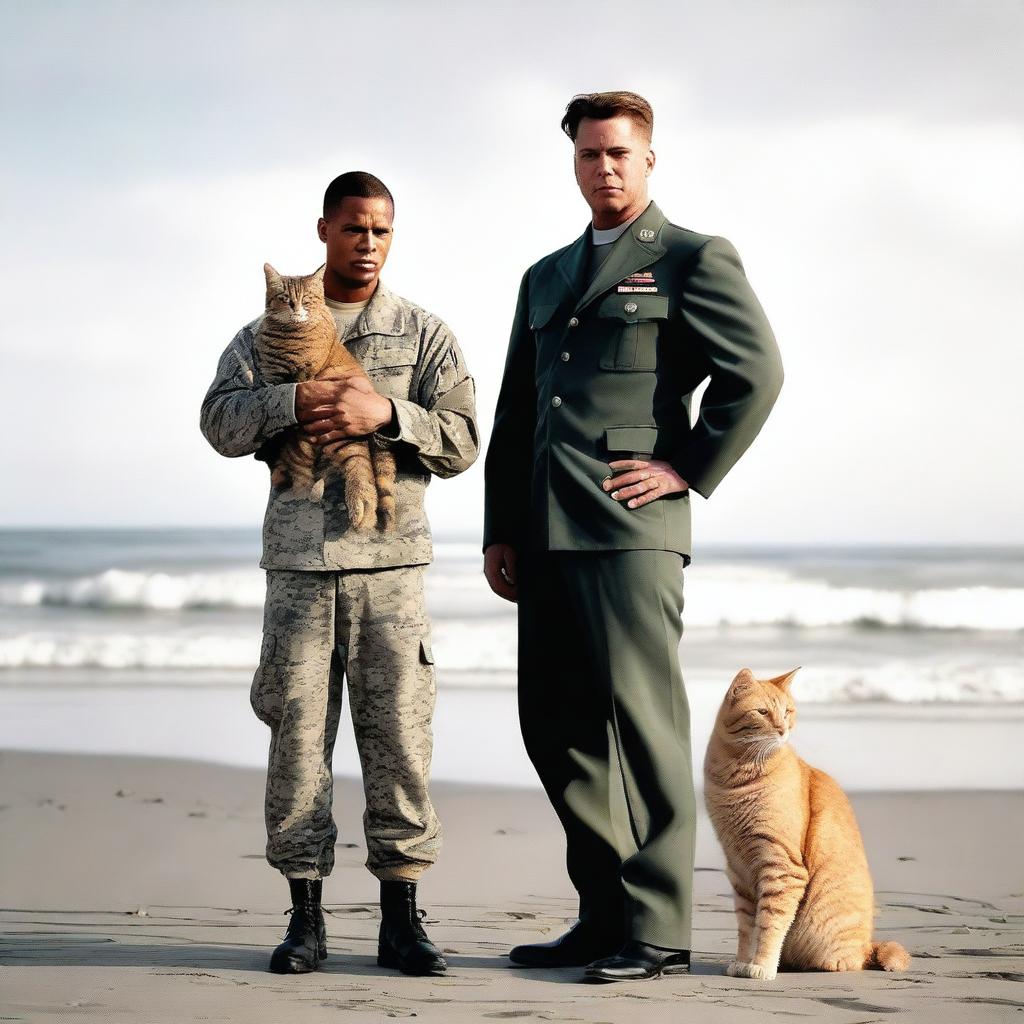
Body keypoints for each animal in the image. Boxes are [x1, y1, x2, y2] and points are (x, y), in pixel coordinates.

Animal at [253, 260, 397, 532]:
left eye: (306, 299)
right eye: (284, 298)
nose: (296, 308)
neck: (286, 334)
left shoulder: (302, 376)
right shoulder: (270, 378)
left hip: (344, 440)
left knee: (360, 468)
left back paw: (360, 511)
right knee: (307, 477)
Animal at [704, 667, 913, 978]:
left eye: (787, 711)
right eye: (762, 712)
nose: (782, 730)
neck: (735, 773)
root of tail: (868, 945)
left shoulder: (782, 867)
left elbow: (769, 925)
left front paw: (761, 966)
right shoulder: (740, 871)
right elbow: (746, 927)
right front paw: (743, 961)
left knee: (851, 961)